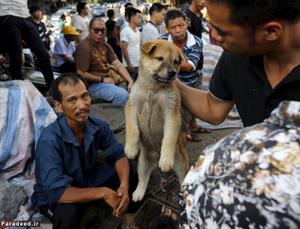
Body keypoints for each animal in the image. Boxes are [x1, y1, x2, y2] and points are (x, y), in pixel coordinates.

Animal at [125, 40, 190, 201]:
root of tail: (155, 156)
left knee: (183, 178)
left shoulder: (171, 112)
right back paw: (138, 193)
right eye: (160, 58)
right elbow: (133, 130)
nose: (173, 73)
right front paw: (131, 148)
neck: (153, 90)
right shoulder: (132, 106)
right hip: (142, 163)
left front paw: (166, 159)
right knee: (143, 178)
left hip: (180, 163)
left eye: (176, 61)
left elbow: (169, 138)